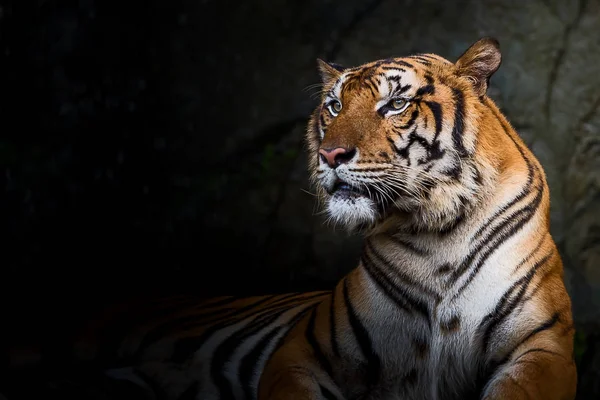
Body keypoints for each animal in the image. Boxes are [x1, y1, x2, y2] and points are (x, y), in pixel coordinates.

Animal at [3, 37, 576, 400]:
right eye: (334, 105)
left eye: (394, 104)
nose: (330, 155)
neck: (437, 231)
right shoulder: (305, 350)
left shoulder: (541, 347)